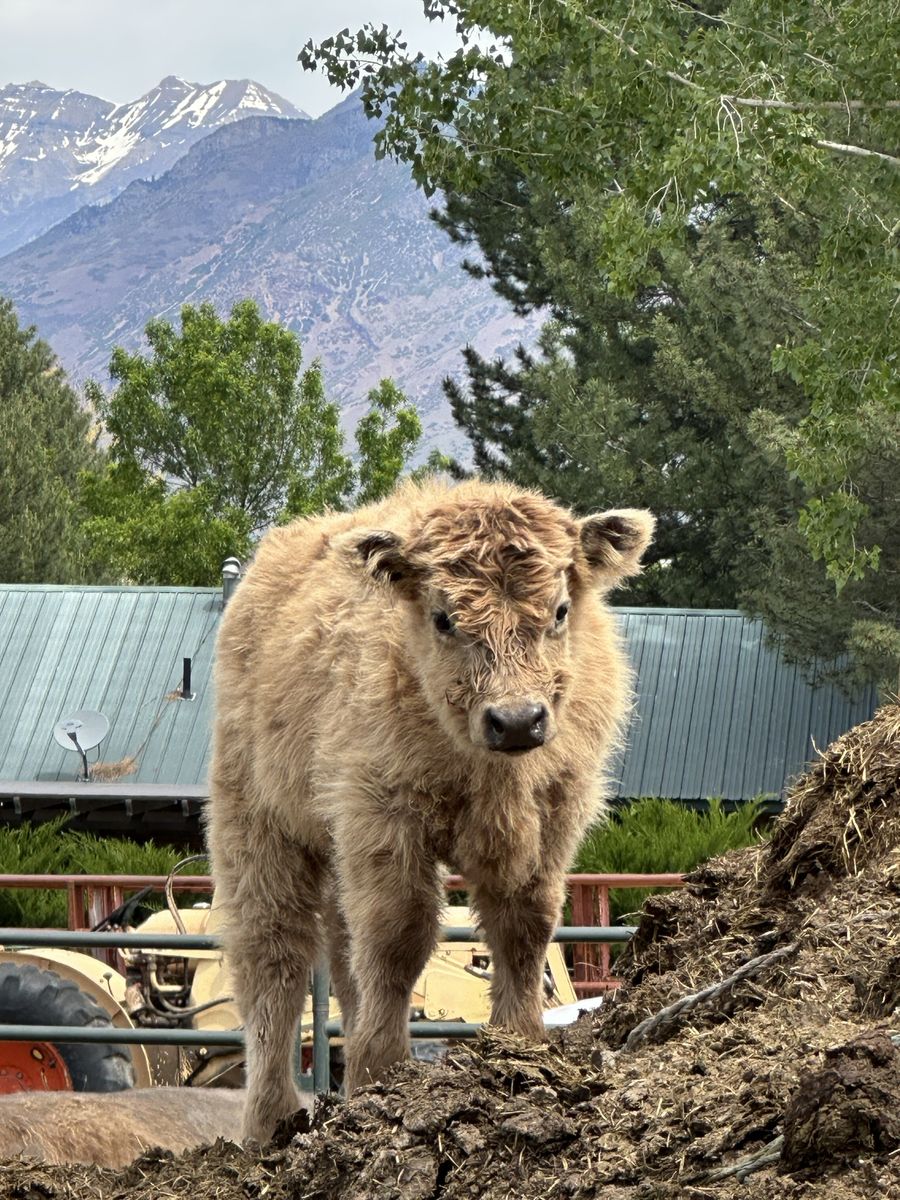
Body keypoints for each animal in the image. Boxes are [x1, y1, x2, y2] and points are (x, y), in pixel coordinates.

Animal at [205, 479, 654, 1143]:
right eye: (444, 618)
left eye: (560, 611)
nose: (516, 720)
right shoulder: (385, 817)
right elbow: (401, 936)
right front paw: (382, 1071)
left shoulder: (550, 822)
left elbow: (525, 931)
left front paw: (520, 1044)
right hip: (262, 826)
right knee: (274, 962)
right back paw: (270, 1120)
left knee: (342, 951)